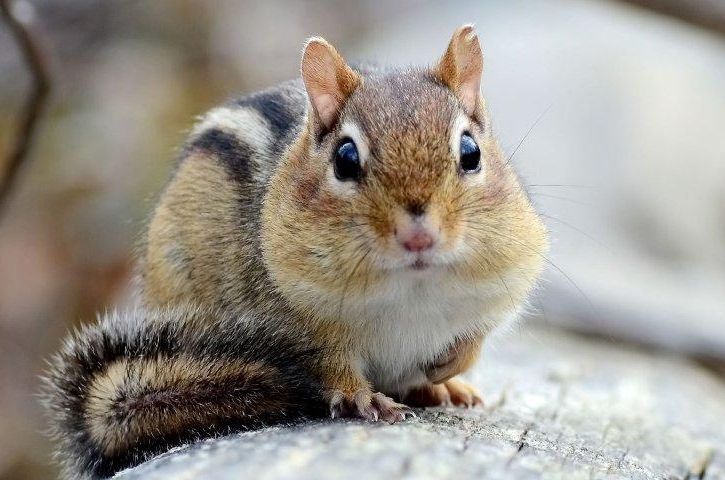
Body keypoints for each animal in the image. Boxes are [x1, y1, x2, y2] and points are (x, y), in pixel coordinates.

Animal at [42, 25, 548, 480]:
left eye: (470, 151)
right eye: (345, 159)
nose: (418, 237)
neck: (413, 290)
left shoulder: (501, 284)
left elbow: (474, 340)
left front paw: (448, 371)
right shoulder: (302, 325)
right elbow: (334, 365)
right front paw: (363, 397)